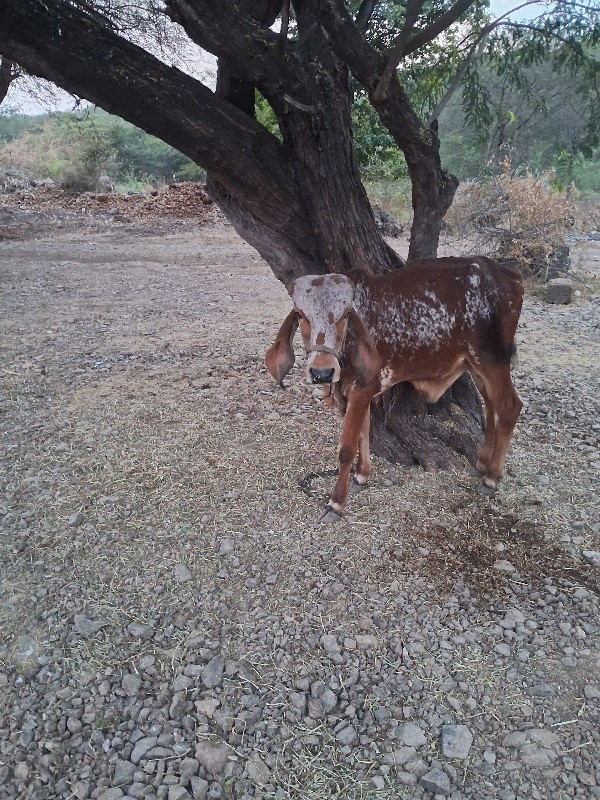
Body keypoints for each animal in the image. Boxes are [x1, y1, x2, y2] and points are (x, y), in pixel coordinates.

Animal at [264, 256, 524, 520]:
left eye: (346, 315)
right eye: (300, 314)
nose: (322, 372)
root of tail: (507, 275)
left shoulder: (361, 389)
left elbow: (347, 447)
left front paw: (335, 503)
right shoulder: (360, 393)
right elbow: (363, 434)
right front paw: (361, 477)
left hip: (493, 361)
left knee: (509, 407)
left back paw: (491, 477)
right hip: (476, 366)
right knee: (492, 407)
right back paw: (482, 464)